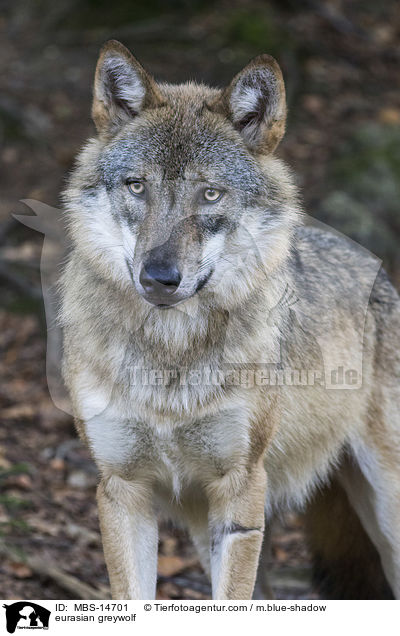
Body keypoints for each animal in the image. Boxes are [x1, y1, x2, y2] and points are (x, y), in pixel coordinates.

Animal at [60, 41, 400, 600]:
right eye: (137, 186)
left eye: (211, 194)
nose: (159, 277)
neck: (170, 360)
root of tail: (376, 268)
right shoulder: (123, 491)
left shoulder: (241, 486)